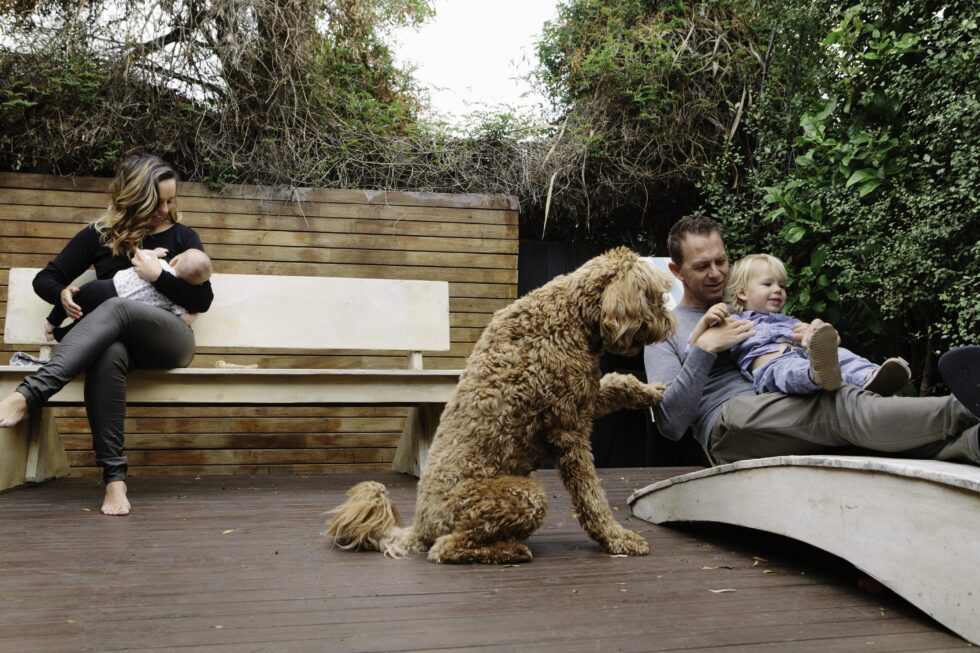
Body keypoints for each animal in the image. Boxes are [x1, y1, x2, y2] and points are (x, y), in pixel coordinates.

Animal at [326, 247, 676, 564]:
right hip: (521, 495)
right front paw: (618, 539)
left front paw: (652, 391)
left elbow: (619, 382)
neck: (570, 313)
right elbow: (592, 497)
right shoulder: (568, 429)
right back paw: (509, 551)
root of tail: (421, 526)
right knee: (445, 548)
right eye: (655, 297)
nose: (672, 325)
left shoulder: (583, 399)